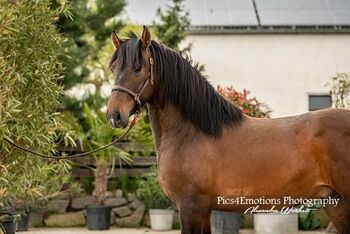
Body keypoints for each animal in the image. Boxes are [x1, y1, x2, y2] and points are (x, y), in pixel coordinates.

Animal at [106, 26, 350, 234]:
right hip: (335, 203)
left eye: (138, 68)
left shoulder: (191, 207)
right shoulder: (204, 210)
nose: (114, 115)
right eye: (113, 68)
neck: (191, 134)